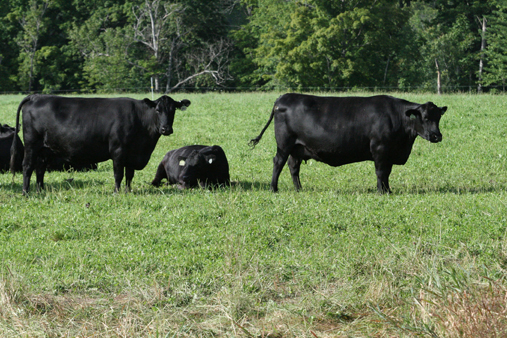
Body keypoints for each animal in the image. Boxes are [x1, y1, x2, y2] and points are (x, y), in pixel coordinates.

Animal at [9, 93, 192, 193]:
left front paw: (128, 191)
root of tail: (36, 96)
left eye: (173, 110)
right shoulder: (118, 150)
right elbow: (118, 174)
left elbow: (129, 175)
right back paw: (26, 192)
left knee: (40, 169)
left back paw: (40, 190)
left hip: (45, 149)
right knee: (27, 167)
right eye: (157, 110)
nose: (166, 129)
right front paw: (117, 192)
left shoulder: (132, 154)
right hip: (32, 144)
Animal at [250, 93, 448, 193]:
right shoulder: (380, 149)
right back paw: (273, 188)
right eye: (424, 117)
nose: (436, 136)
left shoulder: (389, 153)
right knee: (278, 162)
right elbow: (381, 172)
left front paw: (388, 190)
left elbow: (387, 173)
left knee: (293, 166)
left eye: (438, 117)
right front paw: (382, 191)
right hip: (284, 144)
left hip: (297, 148)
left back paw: (299, 189)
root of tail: (281, 99)